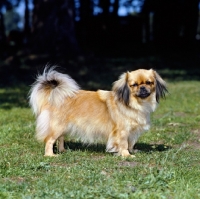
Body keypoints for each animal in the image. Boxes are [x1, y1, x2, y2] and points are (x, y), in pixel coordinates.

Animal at [29, 67, 167, 157]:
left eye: (149, 83)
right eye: (134, 85)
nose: (143, 88)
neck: (137, 104)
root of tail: (55, 95)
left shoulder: (132, 132)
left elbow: (130, 143)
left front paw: (132, 151)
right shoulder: (122, 131)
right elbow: (123, 144)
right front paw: (126, 155)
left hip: (63, 128)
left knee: (60, 139)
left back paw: (63, 151)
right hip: (58, 127)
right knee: (49, 140)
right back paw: (50, 155)